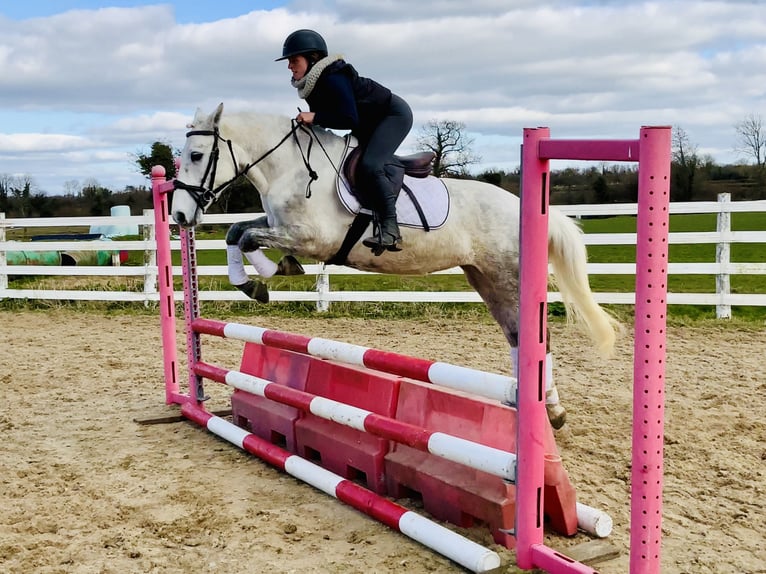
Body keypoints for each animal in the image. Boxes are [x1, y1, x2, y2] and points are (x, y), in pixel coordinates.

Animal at [171, 102, 620, 428]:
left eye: (196, 154)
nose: (178, 216)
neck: (291, 168)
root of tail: (525, 206)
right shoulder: (279, 225)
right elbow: (235, 232)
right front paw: (253, 281)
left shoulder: (312, 238)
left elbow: (247, 237)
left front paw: (269, 274)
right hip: (485, 278)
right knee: (517, 337)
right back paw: (544, 409)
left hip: (507, 277)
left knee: (536, 340)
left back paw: (547, 412)